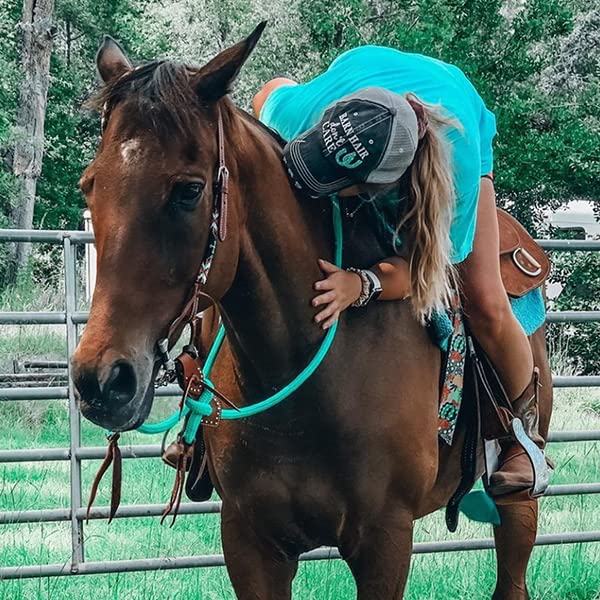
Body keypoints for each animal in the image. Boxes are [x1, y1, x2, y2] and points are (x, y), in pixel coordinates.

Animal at [74, 24, 552, 600]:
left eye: (189, 190)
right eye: (89, 184)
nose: (102, 381)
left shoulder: (384, 542)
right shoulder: (250, 540)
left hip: (517, 503)